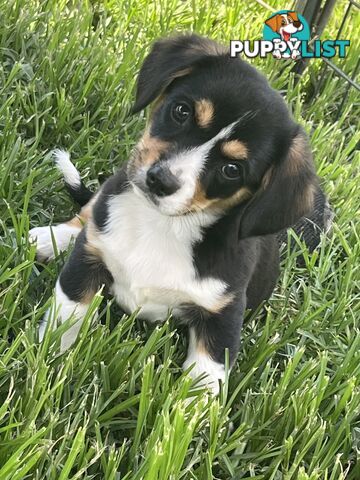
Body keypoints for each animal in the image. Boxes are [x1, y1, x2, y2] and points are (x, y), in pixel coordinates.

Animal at [31, 32, 318, 394]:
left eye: (231, 169)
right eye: (181, 111)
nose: (160, 180)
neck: (164, 226)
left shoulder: (223, 313)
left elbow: (206, 376)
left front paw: (189, 408)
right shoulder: (88, 259)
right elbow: (66, 316)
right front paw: (50, 362)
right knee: (88, 210)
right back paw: (51, 237)